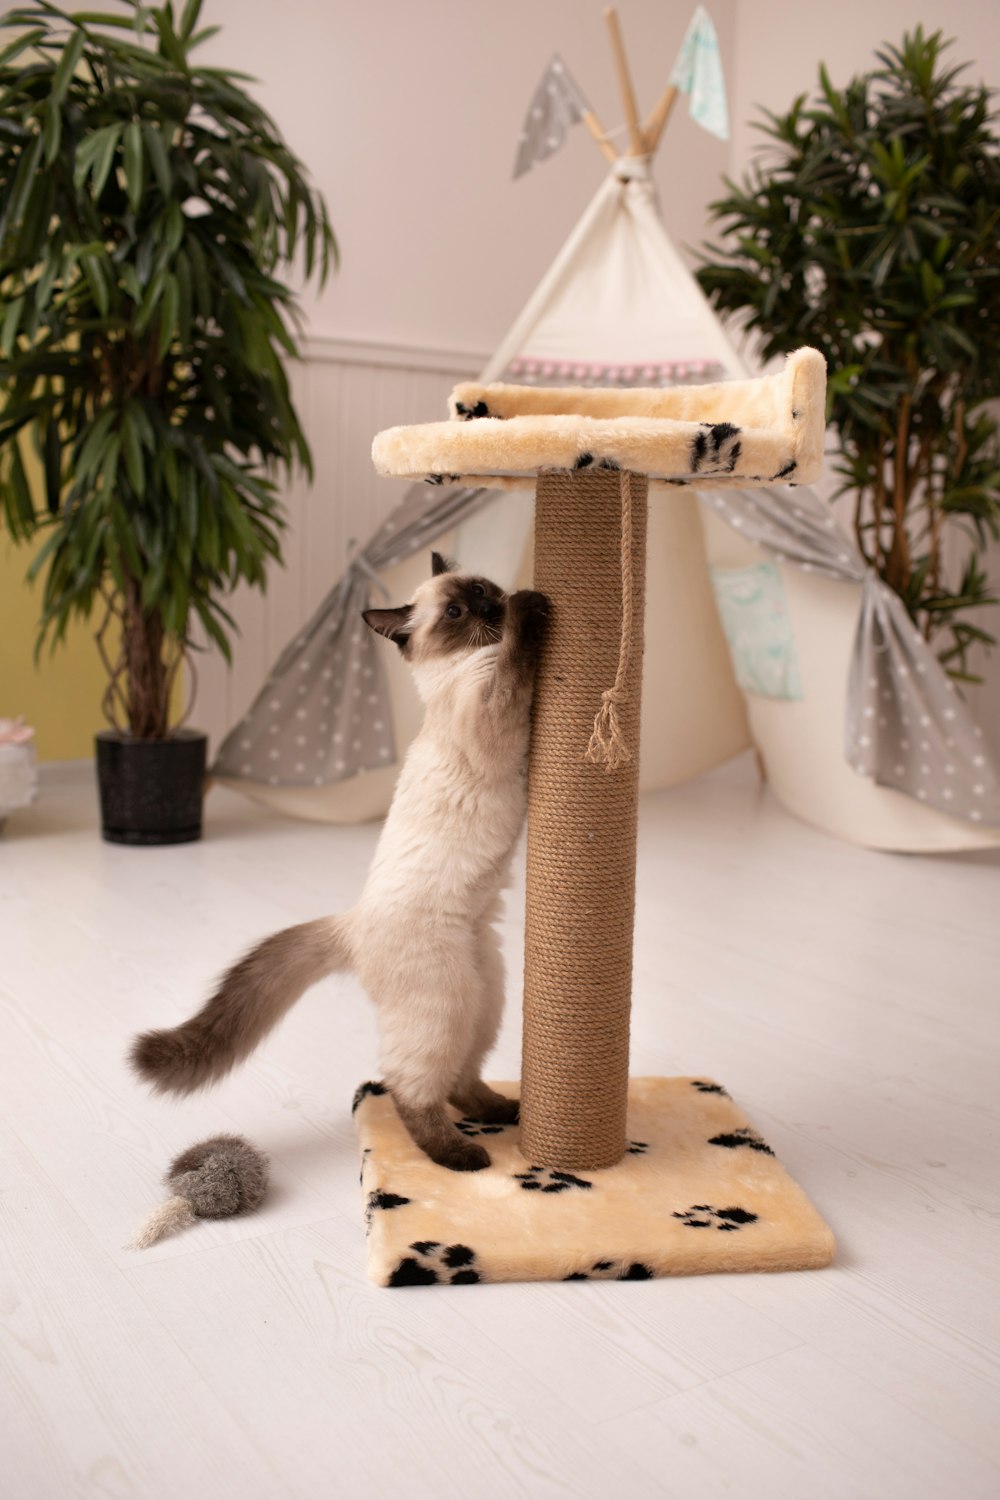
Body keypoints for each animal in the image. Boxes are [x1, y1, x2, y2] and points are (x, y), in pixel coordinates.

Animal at [130, 552, 551, 1170]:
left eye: (477, 590)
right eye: (455, 612)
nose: (489, 605)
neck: (465, 662)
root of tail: (350, 922)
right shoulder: (494, 718)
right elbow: (518, 666)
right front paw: (531, 610)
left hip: (486, 995)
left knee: (458, 1078)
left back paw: (501, 1112)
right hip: (447, 1000)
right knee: (407, 1085)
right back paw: (461, 1155)